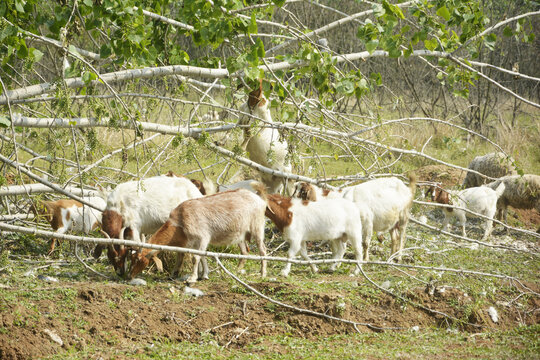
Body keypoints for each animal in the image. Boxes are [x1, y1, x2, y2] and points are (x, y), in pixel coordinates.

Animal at [129, 186, 268, 284]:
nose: (129, 276)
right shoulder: (191, 243)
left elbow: (196, 258)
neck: (180, 221)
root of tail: (260, 200)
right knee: (244, 251)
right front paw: (199, 275)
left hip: (257, 227)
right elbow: (197, 257)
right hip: (241, 234)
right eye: (131, 259)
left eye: (139, 260)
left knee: (263, 250)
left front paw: (192, 278)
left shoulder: (202, 237)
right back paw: (237, 271)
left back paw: (263, 274)